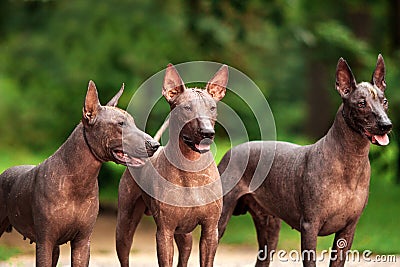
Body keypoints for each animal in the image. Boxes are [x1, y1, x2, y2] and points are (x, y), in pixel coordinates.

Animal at [0, 81, 159, 267]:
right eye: (120, 124)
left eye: (132, 122)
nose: (154, 144)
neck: (78, 181)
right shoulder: (45, 242)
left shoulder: (82, 242)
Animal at [115, 63, 228, 266]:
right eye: (187, 108)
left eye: (212, 108)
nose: (207, 133)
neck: (191, 168)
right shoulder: (164, 232)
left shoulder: (210, 230)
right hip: (125, 225)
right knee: (124, 253)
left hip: (185, 234)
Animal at [219, 55, 390, 267]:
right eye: (361, 103)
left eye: (384, 102)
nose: (386, 125)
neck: (350, 162)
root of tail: (230, 151)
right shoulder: (310, 227)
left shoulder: (348, 230)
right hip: (218, 224)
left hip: (270, 232)